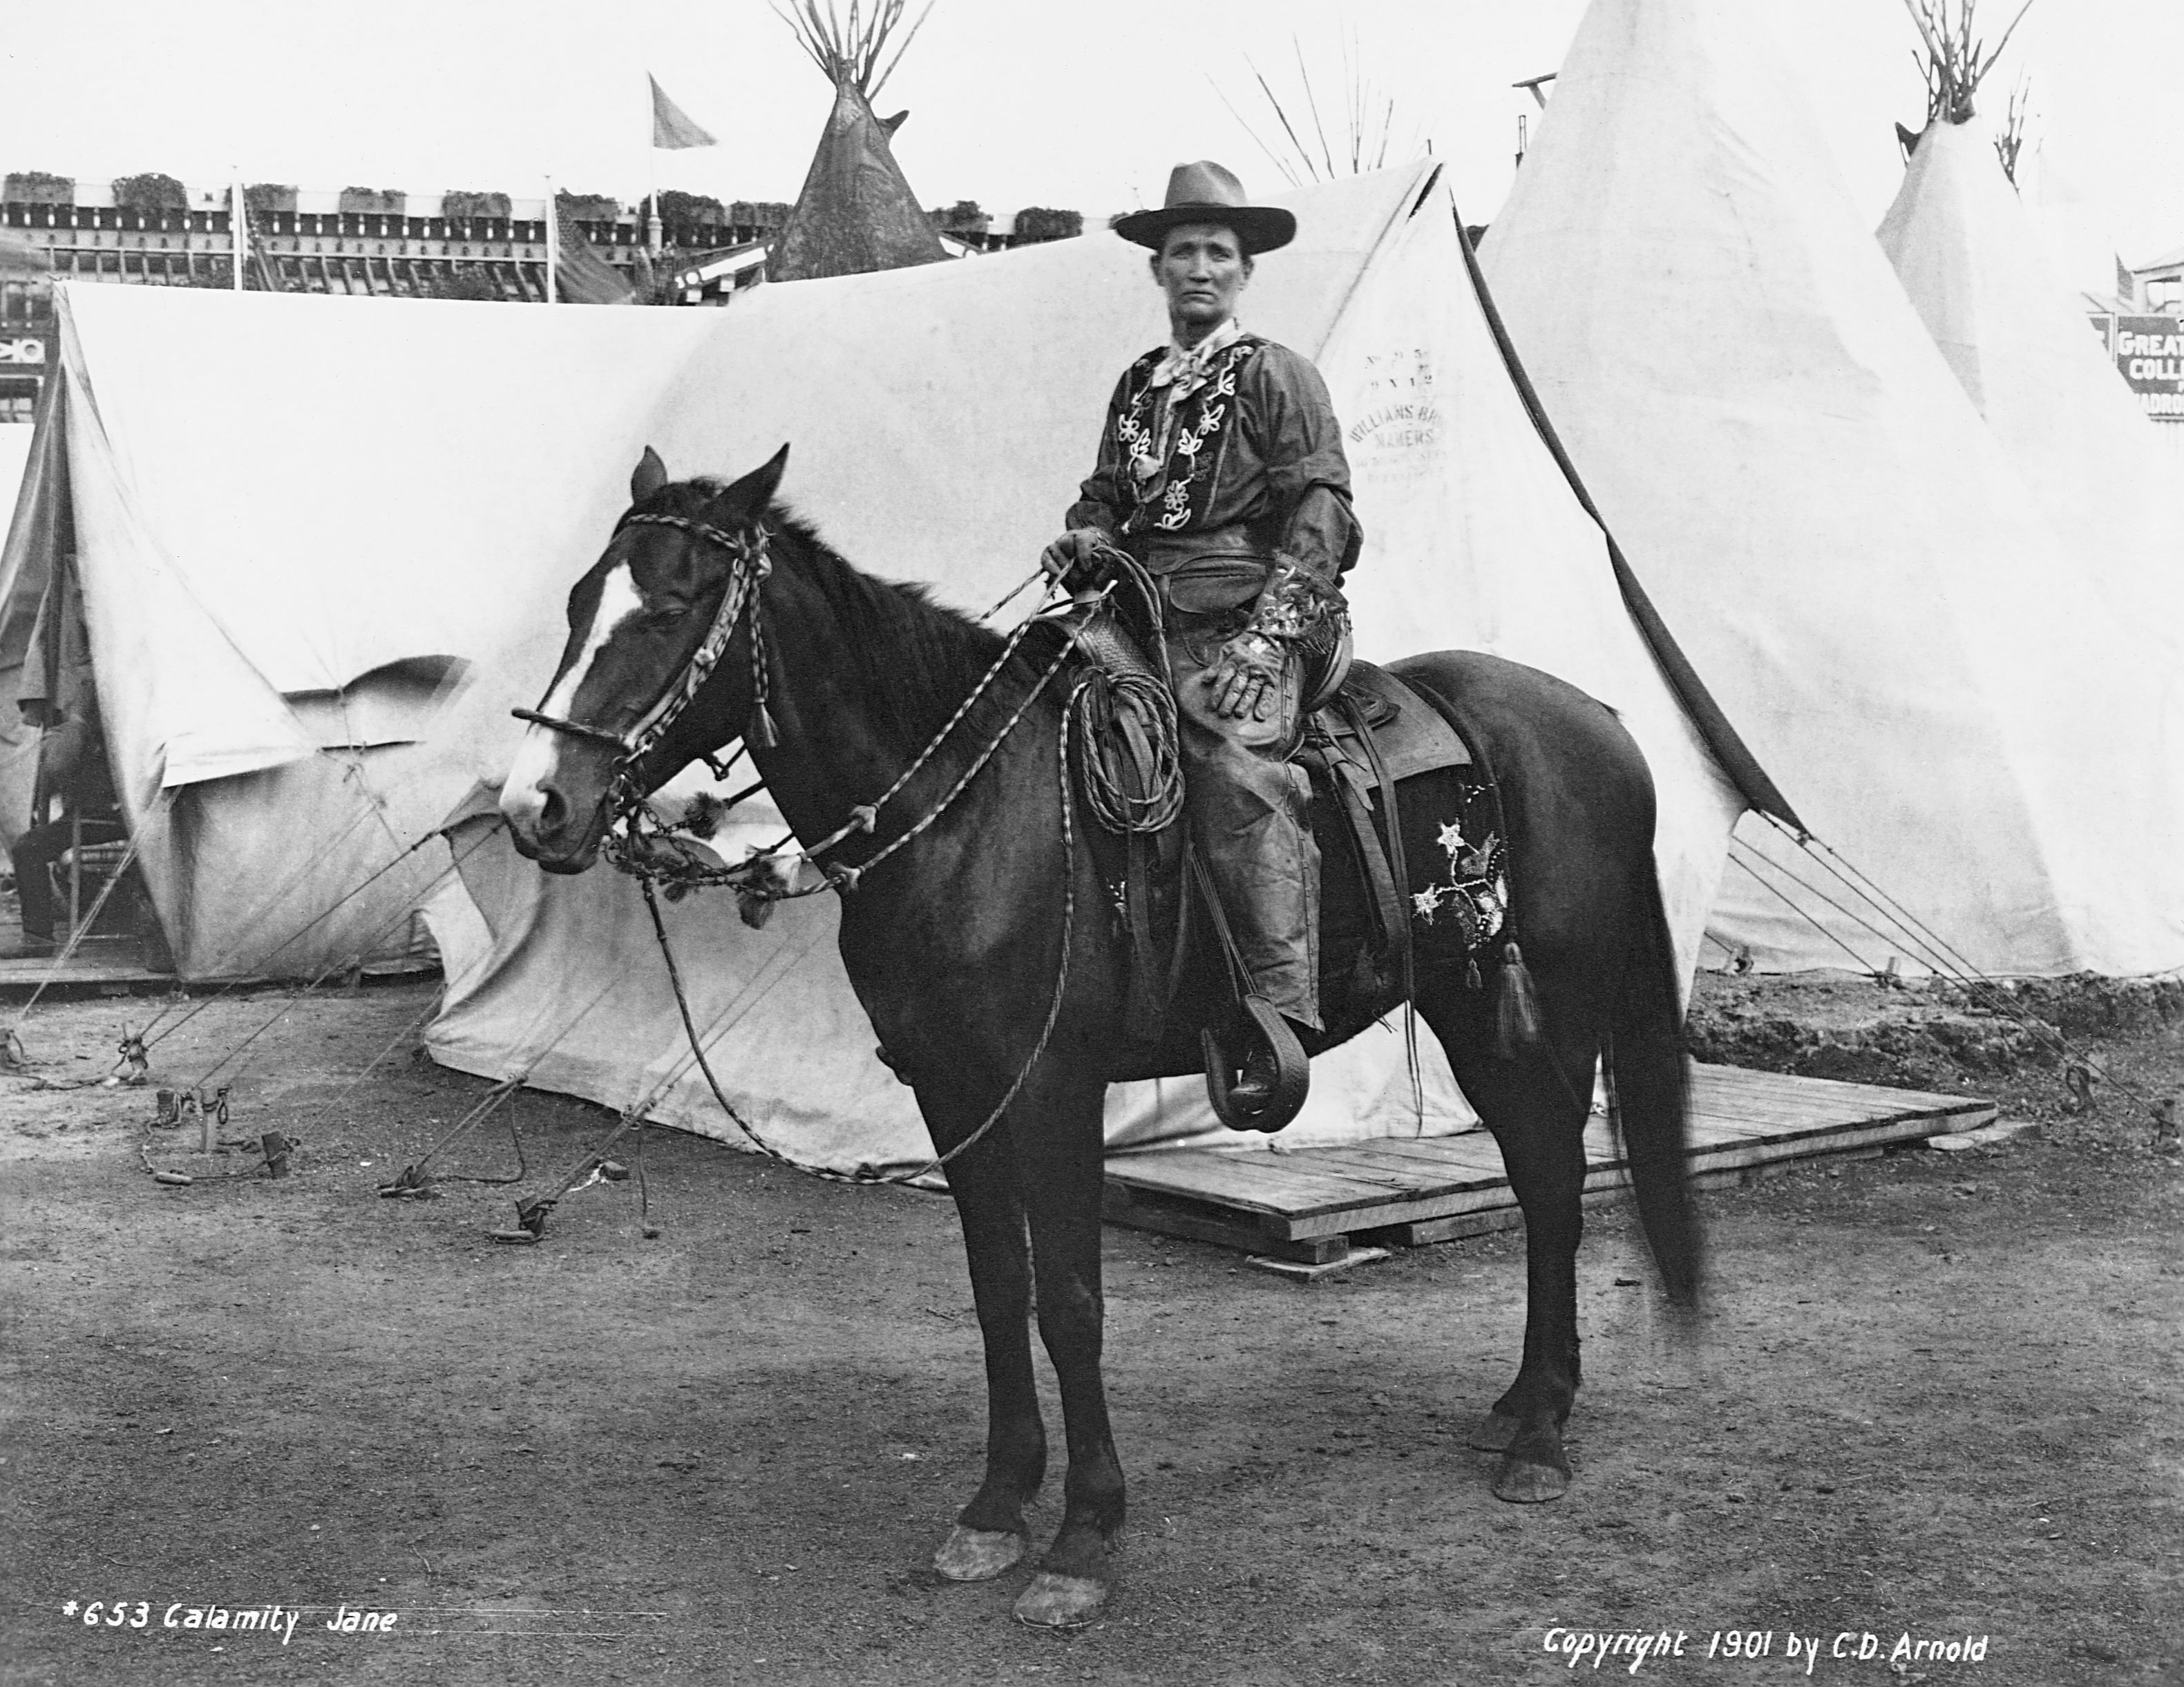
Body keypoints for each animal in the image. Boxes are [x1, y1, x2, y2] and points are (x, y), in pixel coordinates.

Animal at [500, 448, 1703, 1634]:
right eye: (576, 602)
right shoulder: (953, 1092)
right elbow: (999, 1290)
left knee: (1554, 1181)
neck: (968, 810)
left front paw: (1083, 1536)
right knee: (1539, 1176)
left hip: (1545, 1016)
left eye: (671, 606)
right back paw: (1520, 1406)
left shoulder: (1054, 1090)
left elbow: (1072, 1305)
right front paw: (995, 1506)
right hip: (1469, 1006)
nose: (535, 807)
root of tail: (1598, 718)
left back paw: (1541, 1436)